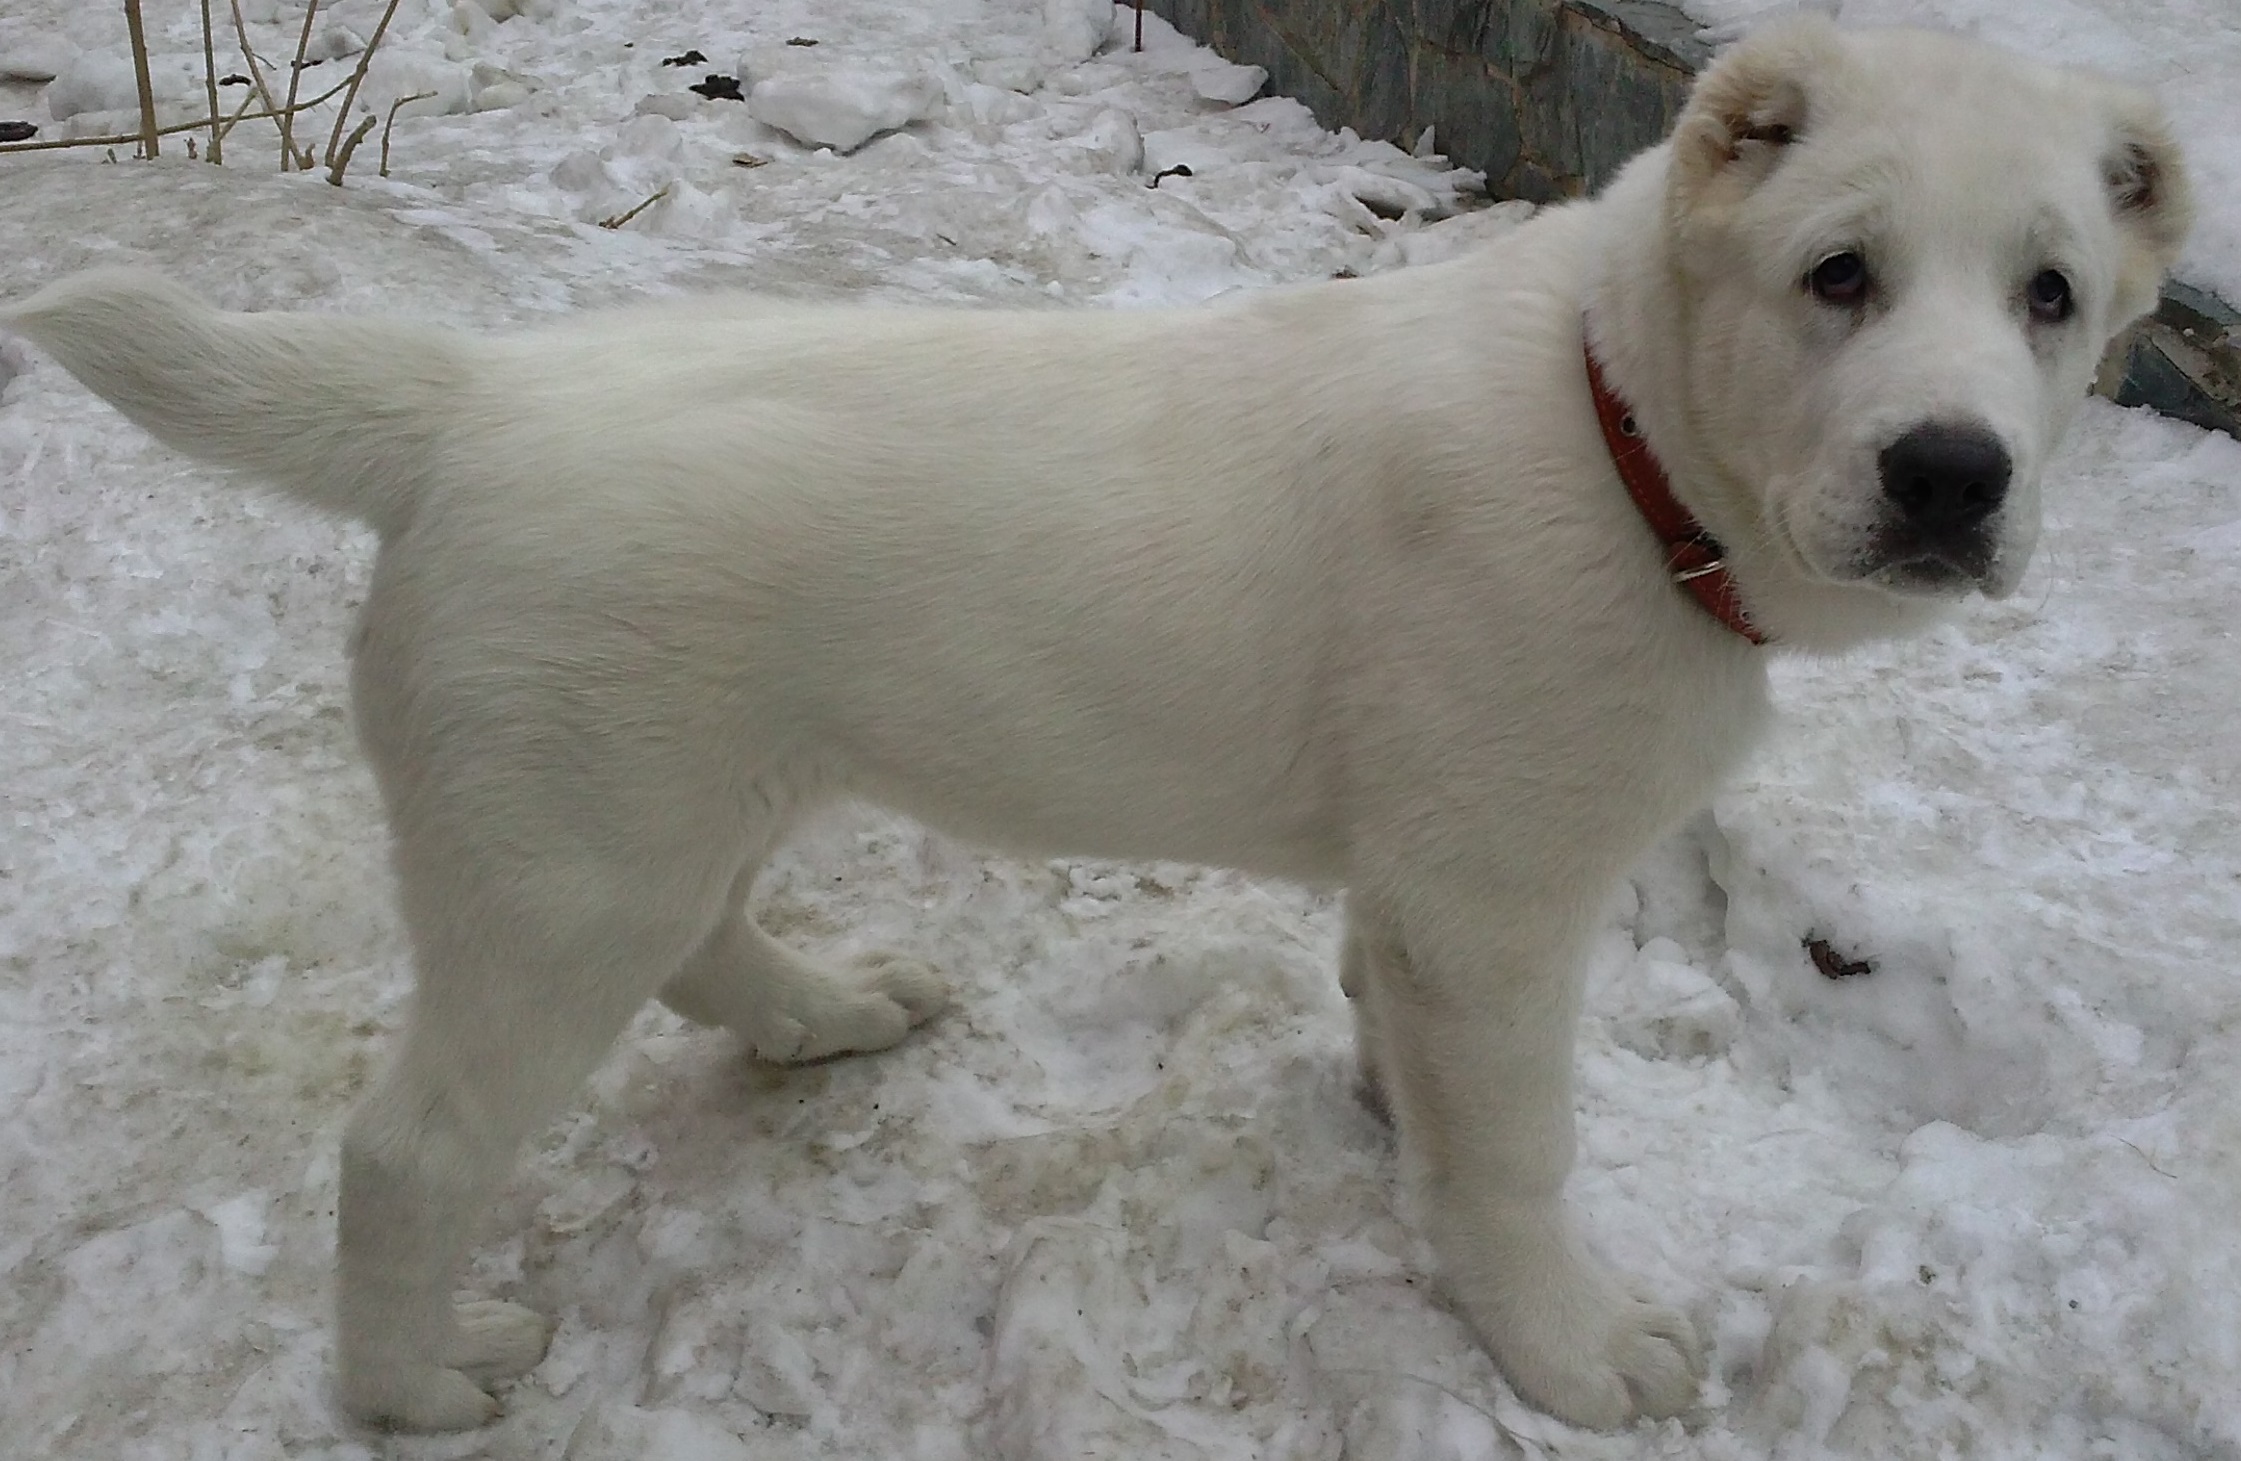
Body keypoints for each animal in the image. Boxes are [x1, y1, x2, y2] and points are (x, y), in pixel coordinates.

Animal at [0, 17, 2169, 1434]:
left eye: (2052, 297)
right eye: (1837, 276)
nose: (1953, 474)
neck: (1618, 425)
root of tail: (459, 404)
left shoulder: (1422, 891)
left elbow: (1406, 1039)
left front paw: (1390, 1107)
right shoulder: (1496, 905)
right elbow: (1521, 1150)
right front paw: (1564, 1343)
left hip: (658, 806)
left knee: (704, 945)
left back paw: (821, 1010)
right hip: (560, 868)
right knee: (409, 1147)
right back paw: (410, 1381)